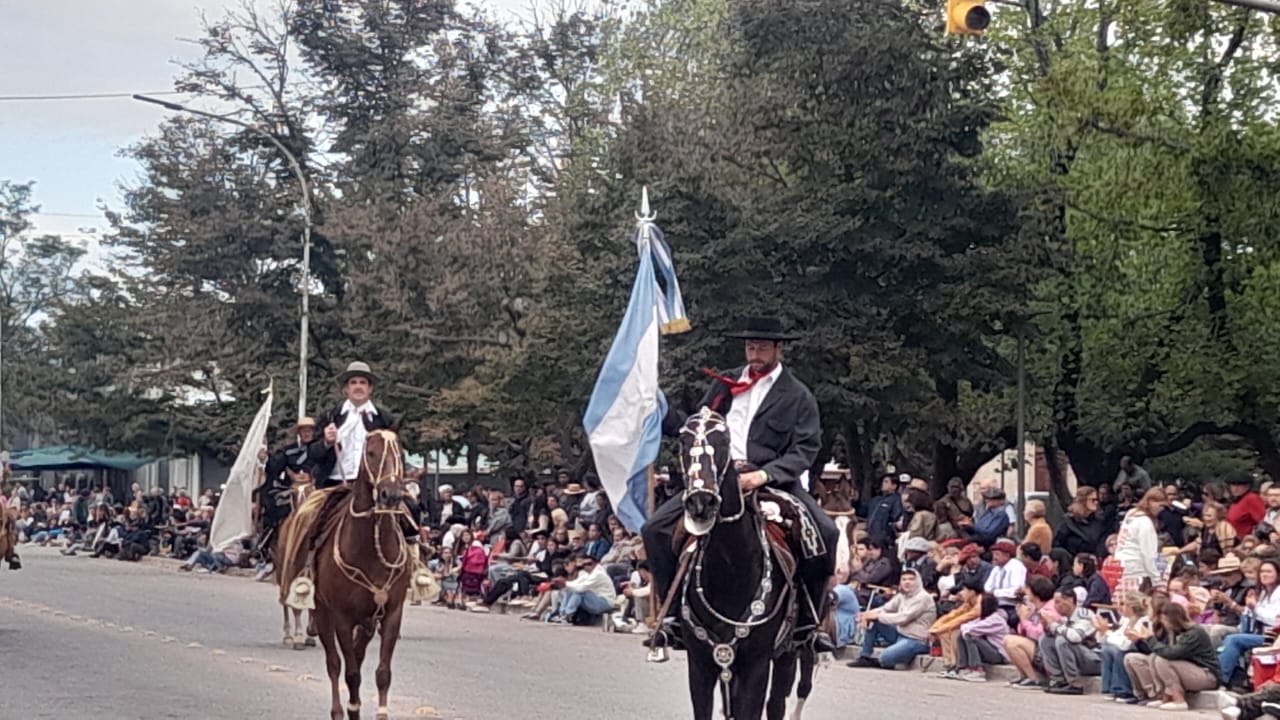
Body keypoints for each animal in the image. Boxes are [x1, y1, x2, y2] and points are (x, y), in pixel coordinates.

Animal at [310, 429, 412, 720]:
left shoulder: (391, 614)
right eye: (371, 453)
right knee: (334, 664)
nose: (390, 495)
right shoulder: (342, 618)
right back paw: (338, 710)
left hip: (366, 622)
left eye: (400, 453)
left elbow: (382, 673)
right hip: (323, 612)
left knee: (356, 655)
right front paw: (351, 707)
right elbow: (351, 673)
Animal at [677, 408, 816, 720]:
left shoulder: (756, 665)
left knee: (777, 704)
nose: (701, 503)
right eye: (683, 440)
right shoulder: (701, 664)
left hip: (787, 654)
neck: (730, 571)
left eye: (724, 440)